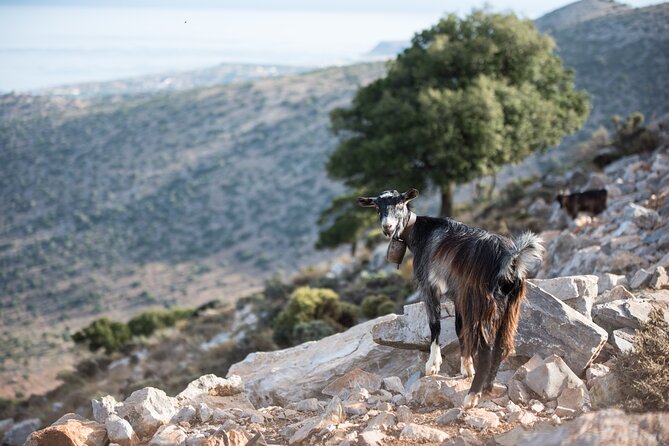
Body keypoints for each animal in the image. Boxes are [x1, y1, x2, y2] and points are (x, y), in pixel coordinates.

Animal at [360, 188, 544, 408]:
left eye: (399, 204)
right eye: (377, 207)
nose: (387, 227)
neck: (421, 233)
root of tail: (511, 261)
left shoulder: (430, 287)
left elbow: (435, 325)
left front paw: (433, 365)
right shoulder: (458, 295)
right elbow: (459, 328)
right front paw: (466, 367)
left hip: (480, 302)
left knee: (487, 348)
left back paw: (472, 395)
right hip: (509, 306)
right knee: (501, 345)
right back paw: (487, 387)